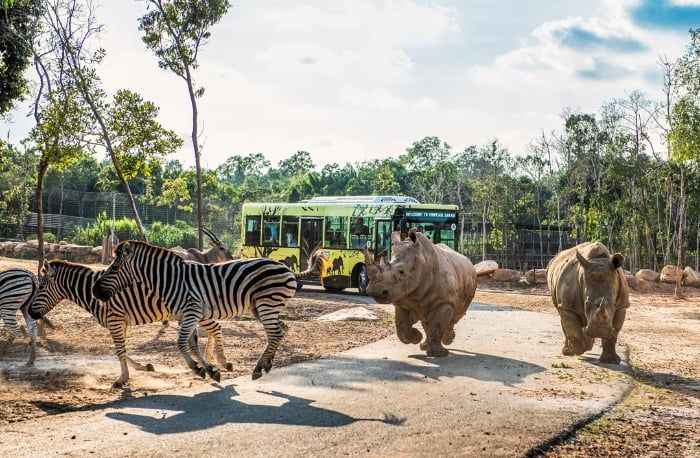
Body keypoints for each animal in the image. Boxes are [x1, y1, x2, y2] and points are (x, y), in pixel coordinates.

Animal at [29, 262, 232, 386]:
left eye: (41, 287)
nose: (30, 312)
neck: (93, 294)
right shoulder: (120, 322)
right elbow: (122, 350)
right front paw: (142, 367)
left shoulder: (115, 320)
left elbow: (119, 350)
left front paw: (122, 379)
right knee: (214, 329)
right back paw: (213, 361)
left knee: (216, 327)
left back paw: (220, 360)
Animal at [91, 242, 296, 382]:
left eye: (114, 268)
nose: (95, 291)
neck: (169, 281)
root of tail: (286, 268)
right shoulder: (185, 315)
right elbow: (191, 344)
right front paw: (209, 369)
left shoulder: (191, 312)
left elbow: (181, 343)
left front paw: (198, 369)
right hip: (262, 308)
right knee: (281, 329)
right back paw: (267, 363)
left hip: (266, 304)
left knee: (275, 333)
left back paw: (258, 367)